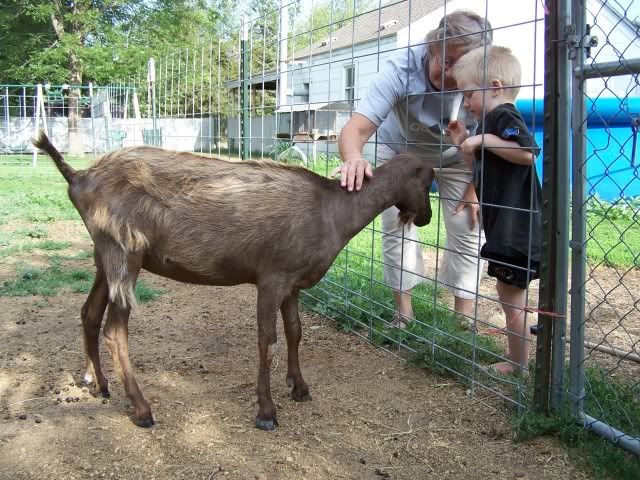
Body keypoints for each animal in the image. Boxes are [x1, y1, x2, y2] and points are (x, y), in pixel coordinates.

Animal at [32, 131, 433, 430]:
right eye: (428, 178)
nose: (427, 218)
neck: (332, 210)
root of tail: (78, 178)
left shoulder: (292, 283)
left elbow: (295, 331)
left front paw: (300, 386)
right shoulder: (272, 277)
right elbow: (267, 341)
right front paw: (266, 412)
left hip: (103, 255)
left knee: (89, 313)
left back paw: (98, 385)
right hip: (124, 253)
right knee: (115, 330)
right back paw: (142, 410)